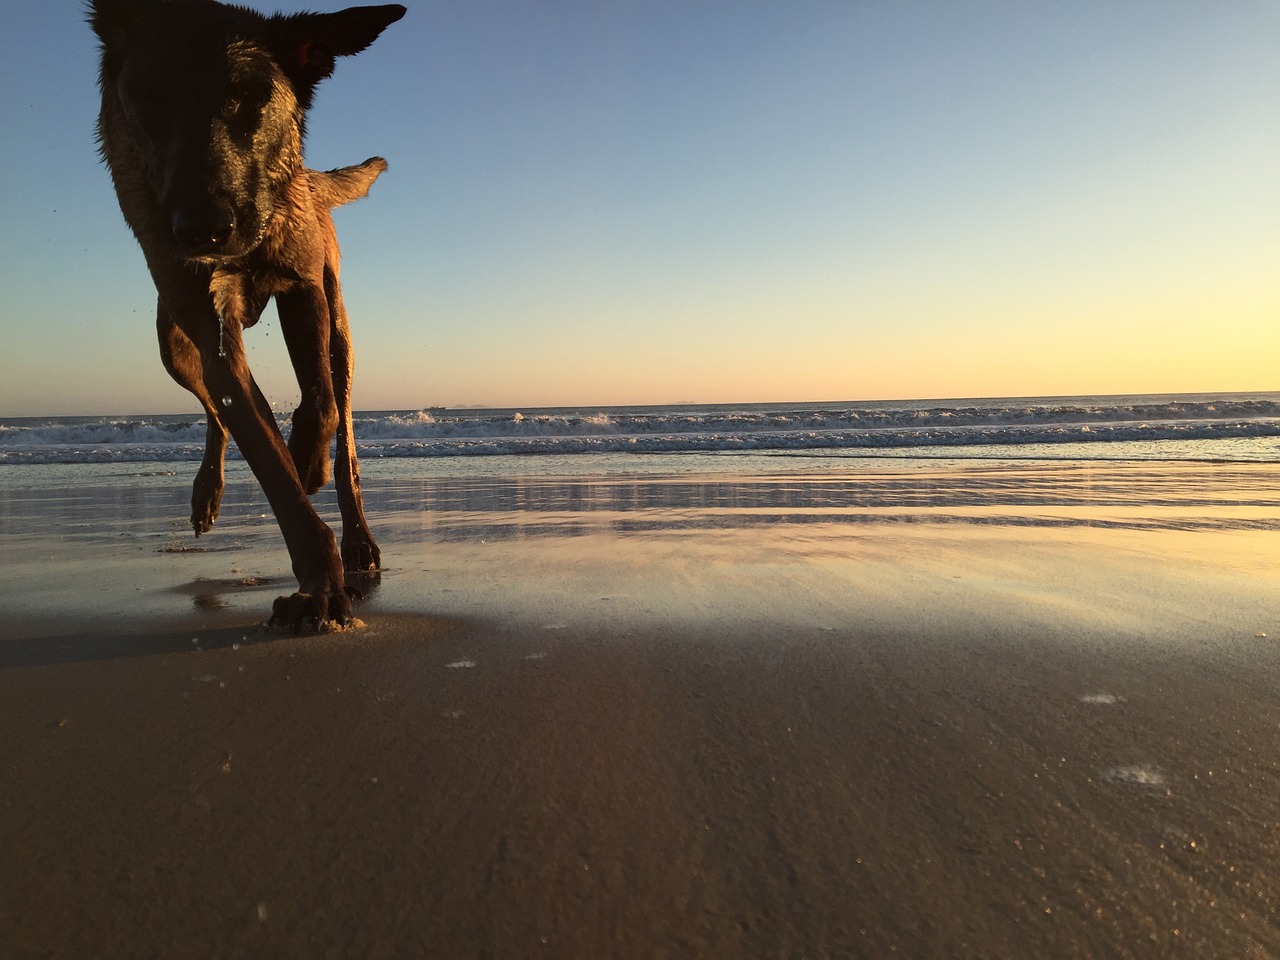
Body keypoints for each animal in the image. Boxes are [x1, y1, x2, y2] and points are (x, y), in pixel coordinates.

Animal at [90, 0, 404, 632]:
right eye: (148, 98)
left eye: (253, 96)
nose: (201, 228)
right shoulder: (207, 322)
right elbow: (262, 447)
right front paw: (318, 585)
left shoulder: (303, 285)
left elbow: (320, 402)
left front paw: (308, 460)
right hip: (171, 342)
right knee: (215, 409)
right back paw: (207, 490)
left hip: (338, 326)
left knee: (344, 421)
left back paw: (355, 529)